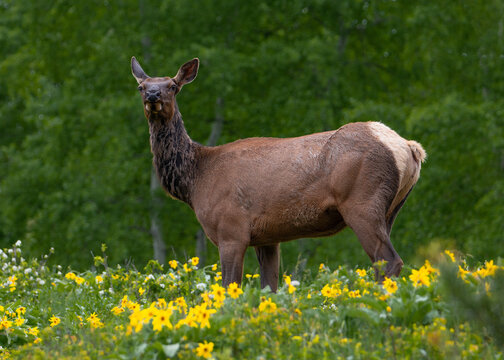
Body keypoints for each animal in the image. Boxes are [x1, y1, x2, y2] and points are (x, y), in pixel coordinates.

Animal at [130, 57, 426, 292]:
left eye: (173, 86)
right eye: (141, 86)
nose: (153, 96)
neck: (195, 180)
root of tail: (411, 148)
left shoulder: (231, 229)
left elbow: (229, 287)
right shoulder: (268, 238)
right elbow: (269, 288)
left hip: (362, 202)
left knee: (389, 261)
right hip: (391, 209)